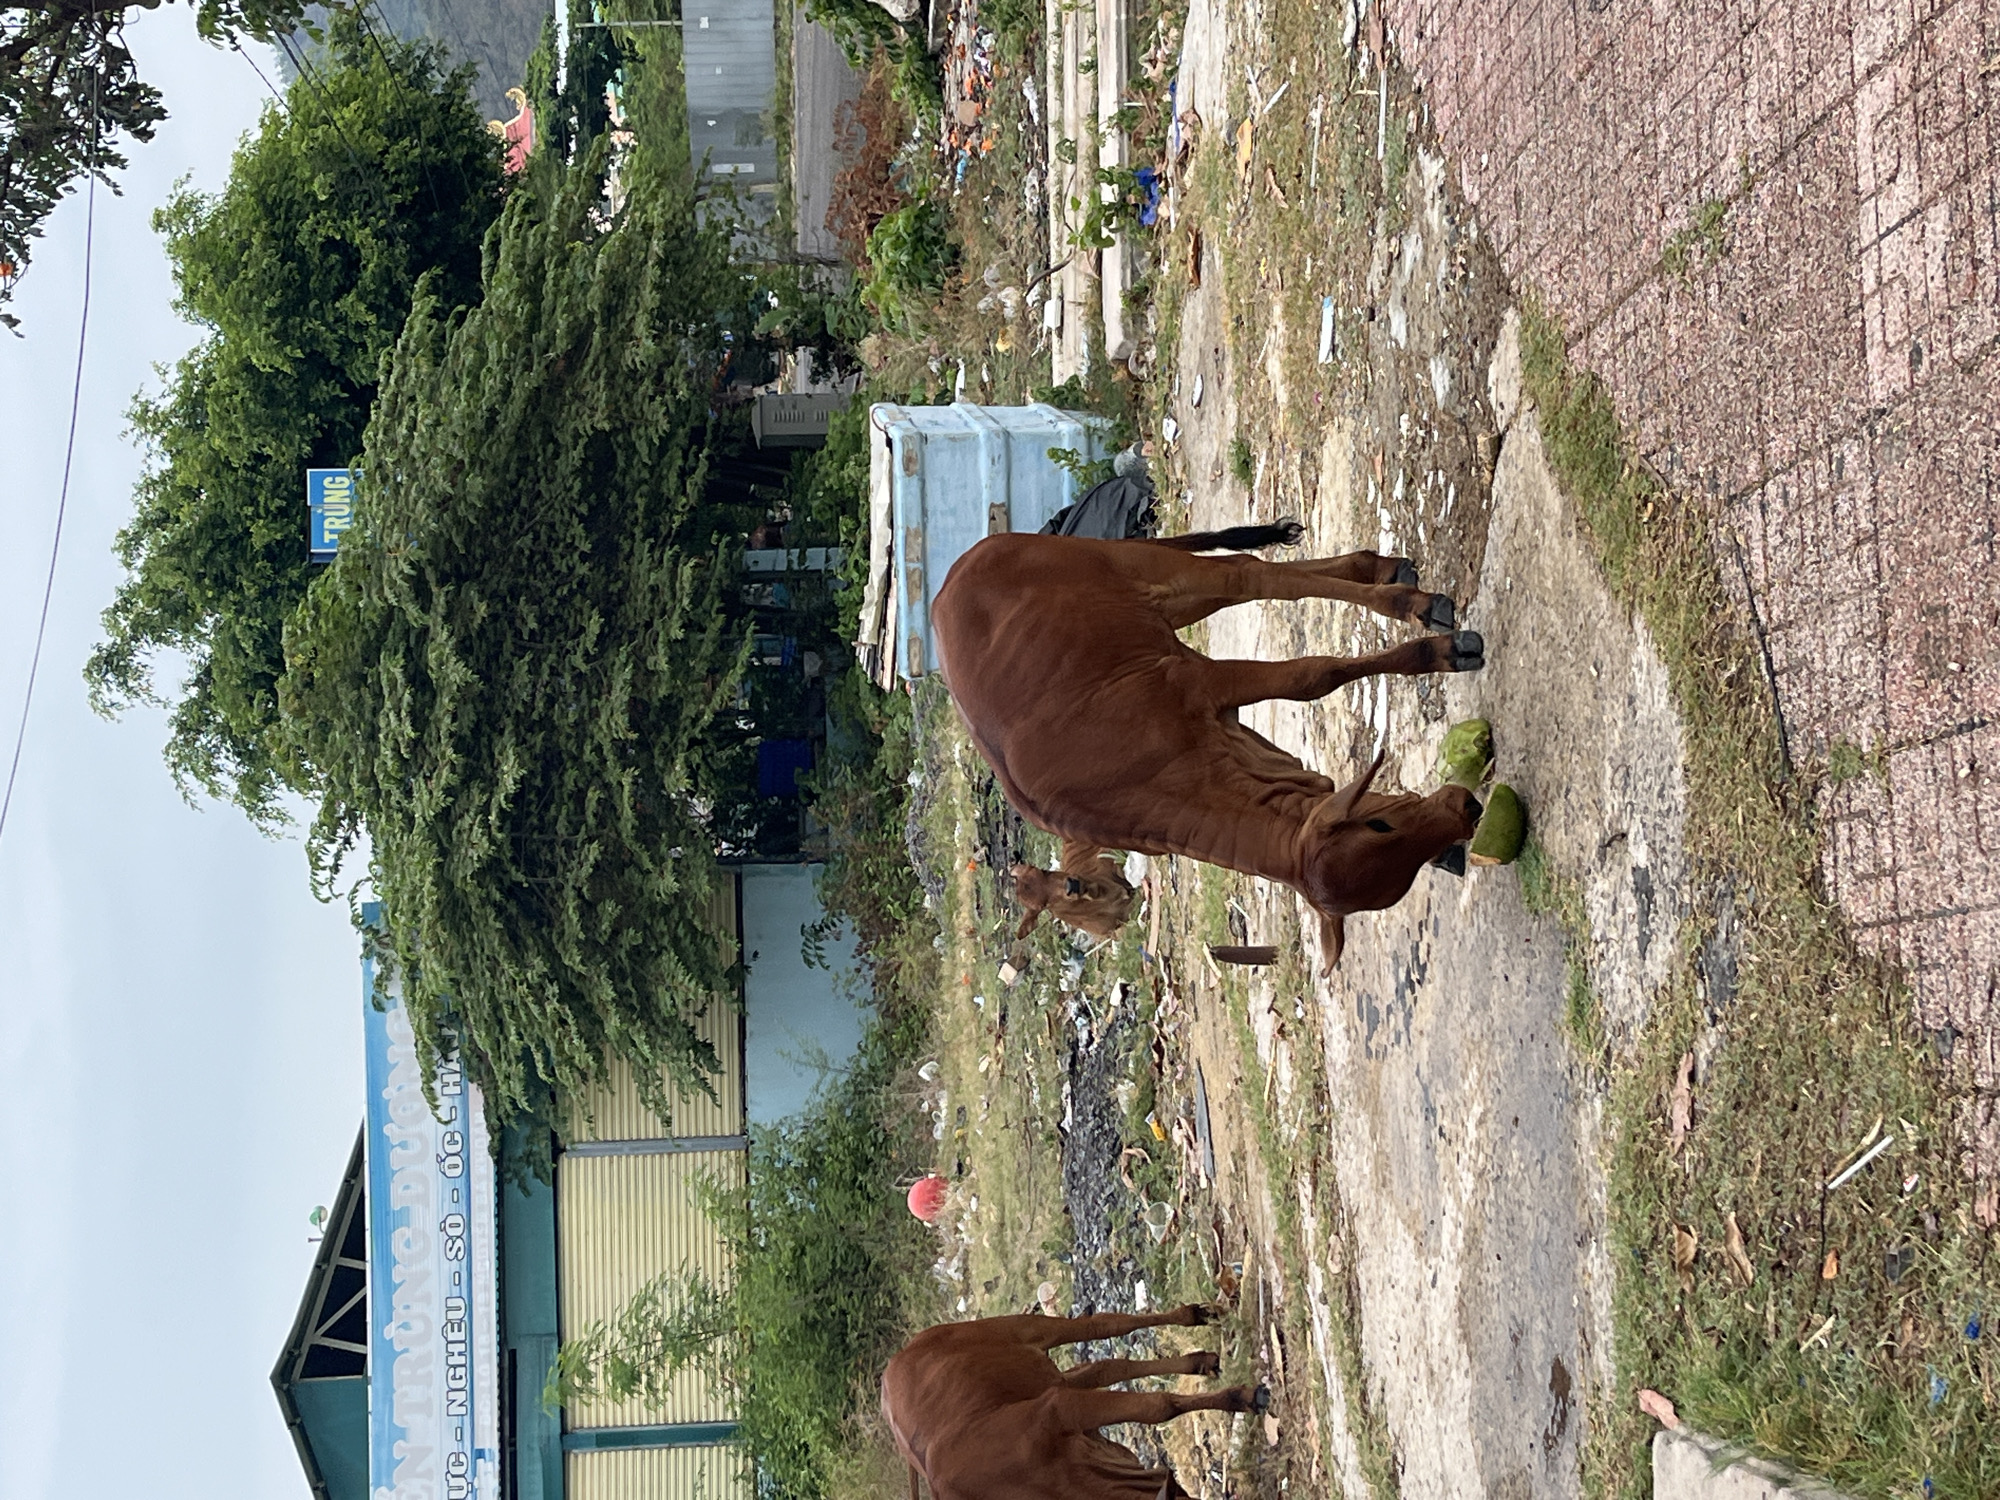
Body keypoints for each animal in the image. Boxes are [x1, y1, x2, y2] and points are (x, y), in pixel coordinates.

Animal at [881, 1306, 1266, 1500]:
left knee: (1103, 1325)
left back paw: (1194, 1314)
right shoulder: (1085, 1427)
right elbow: (1156, 1405)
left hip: (1025, 1329)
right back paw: (1200, 1360)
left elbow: (1157, 1407)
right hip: (1050, 1377)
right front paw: (1240, 1396)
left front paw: (1241, 1395)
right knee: (1108, 1366)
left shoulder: (1058, 1409)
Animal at [932, 522, 1486, 968]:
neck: (1138, 777)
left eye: (1074, 889)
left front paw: (1440, 652)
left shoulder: (1202, 684)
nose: (1467, 810)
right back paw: (1385, 571)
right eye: (1382, 828)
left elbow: (1314, 675)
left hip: (1163, 577)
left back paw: (1411, 603)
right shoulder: (1246, 741)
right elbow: (1319, 764)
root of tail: (958, 572)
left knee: (1253, 575)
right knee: (1259, 573)